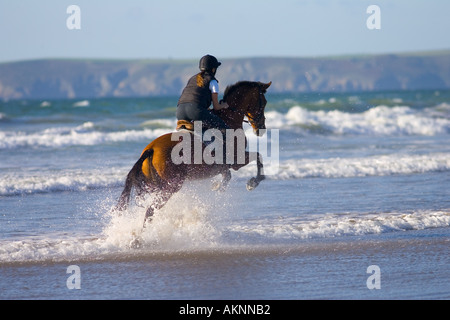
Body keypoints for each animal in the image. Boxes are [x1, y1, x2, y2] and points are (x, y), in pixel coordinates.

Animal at [114, 80, 272, 228]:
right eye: (264, 102)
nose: (261, 129)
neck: (229, 118)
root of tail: (151, 149)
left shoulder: (222, 166)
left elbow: (227, 175)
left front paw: (217, 187)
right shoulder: (236, 161)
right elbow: (258, 156)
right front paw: (253, 182)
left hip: (157, 186)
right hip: (171, 187)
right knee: (150, 210)